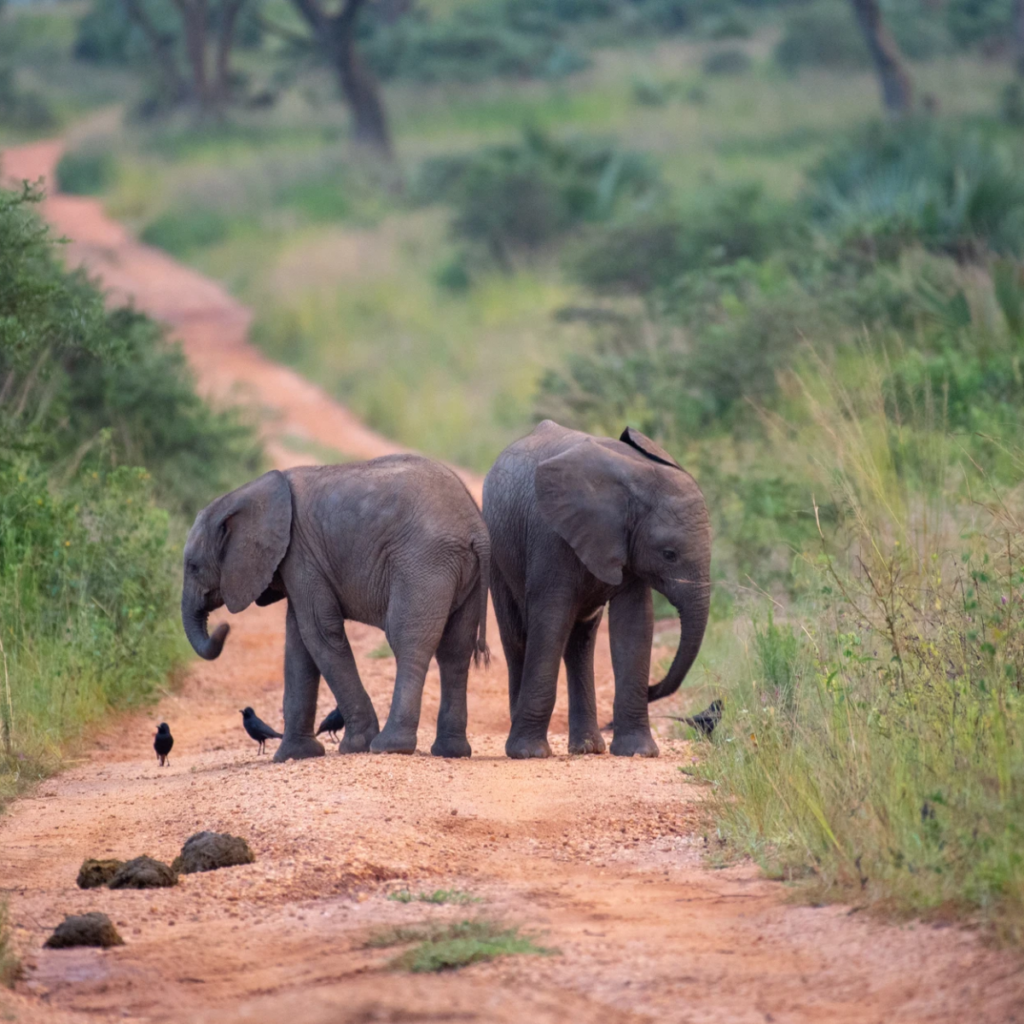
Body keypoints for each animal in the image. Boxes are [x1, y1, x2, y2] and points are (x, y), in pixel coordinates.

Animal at [181, 455, 490, 761]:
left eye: (193, 567)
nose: (223, 627)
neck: (241, 496)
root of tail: (476, 528)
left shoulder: (300, 554)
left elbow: (319, 632)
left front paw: (355, 745)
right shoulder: (297, 561)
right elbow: (298, 642)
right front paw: (294, 755)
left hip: (423, 562)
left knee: (408, 640)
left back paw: (389, 746)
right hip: (463, 573)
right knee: (455, 650)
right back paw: (451, 752)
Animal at [482, 420, 711, 759]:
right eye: (669, 554)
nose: (653, 688)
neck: (635, 481)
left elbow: (634, 624)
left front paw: (639, 752)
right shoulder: (551, 536)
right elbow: (550, 621)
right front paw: (530, 754)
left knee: (580, 642)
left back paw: (588, 748)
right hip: (498, 552)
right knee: (517, 637)